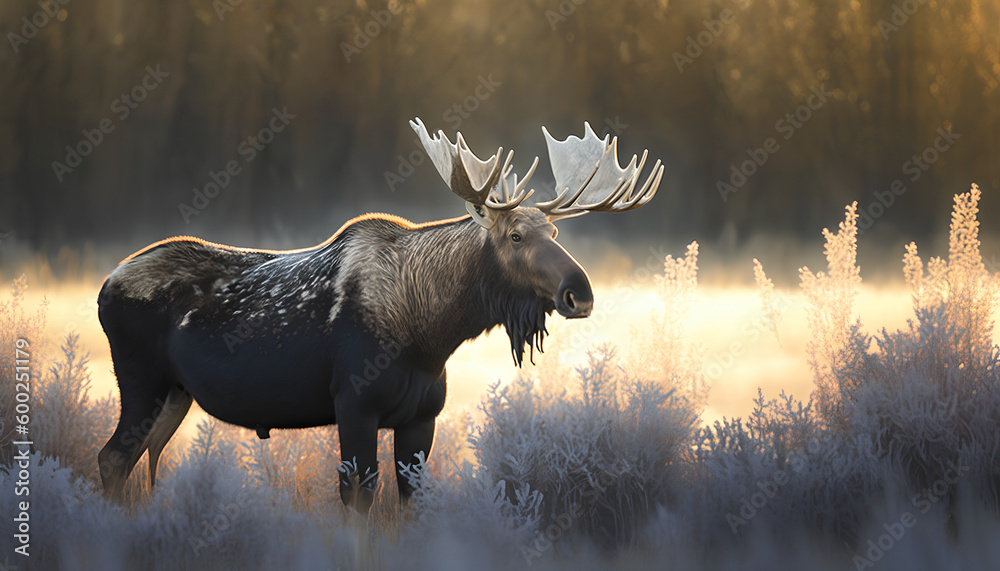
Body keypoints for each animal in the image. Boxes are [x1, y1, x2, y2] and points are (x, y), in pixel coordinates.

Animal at [95, 117, 664, 512]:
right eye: (517, 235)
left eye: (556, 232)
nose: (579, 294)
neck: (430, 334)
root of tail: (104, 285)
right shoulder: (354, 403)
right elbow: (358, 500)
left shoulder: (421, 418)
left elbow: (408, 504)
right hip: (141, 380)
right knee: (113, 457)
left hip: (176, 393)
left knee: (140, 459)